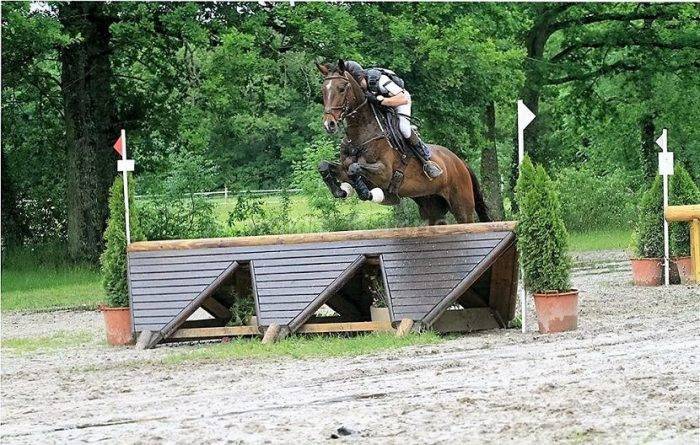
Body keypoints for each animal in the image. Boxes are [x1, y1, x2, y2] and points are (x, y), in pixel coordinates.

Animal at [315, 59, 490, 225]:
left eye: (342, 88)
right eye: (323, 90)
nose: (329, 124)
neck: (360, 134)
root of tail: (460, 162)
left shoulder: (384, 173)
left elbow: (355, 168)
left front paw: (366, 193)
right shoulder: (345, 168)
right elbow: (326, 165)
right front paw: (339, 191)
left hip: (462, 208)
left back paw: (431, 168)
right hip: (433, 208)